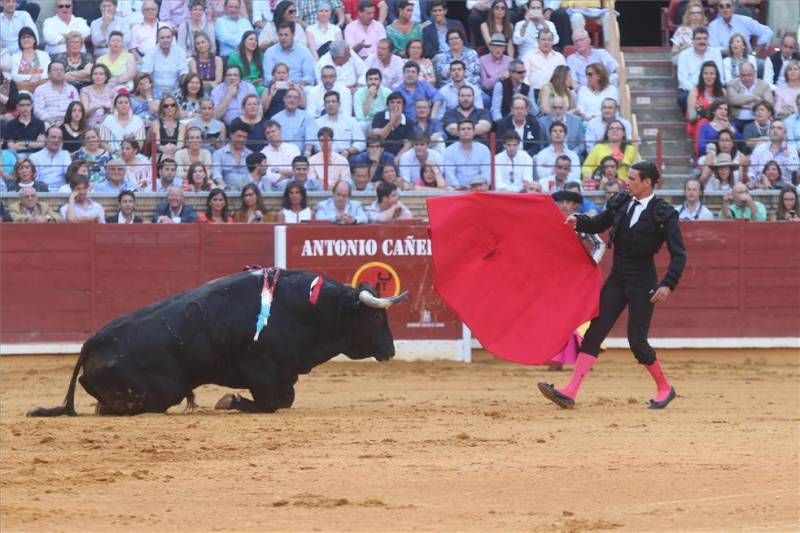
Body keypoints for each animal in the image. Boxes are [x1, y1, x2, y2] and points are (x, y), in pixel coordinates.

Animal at [28, 268, 410, 414]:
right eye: (377, 317)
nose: (391, 351)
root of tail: (93, 341)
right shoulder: (261, 371)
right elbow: (272, 403)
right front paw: (230, 400)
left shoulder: (283, 374)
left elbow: (285, 399)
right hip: (159, 392)